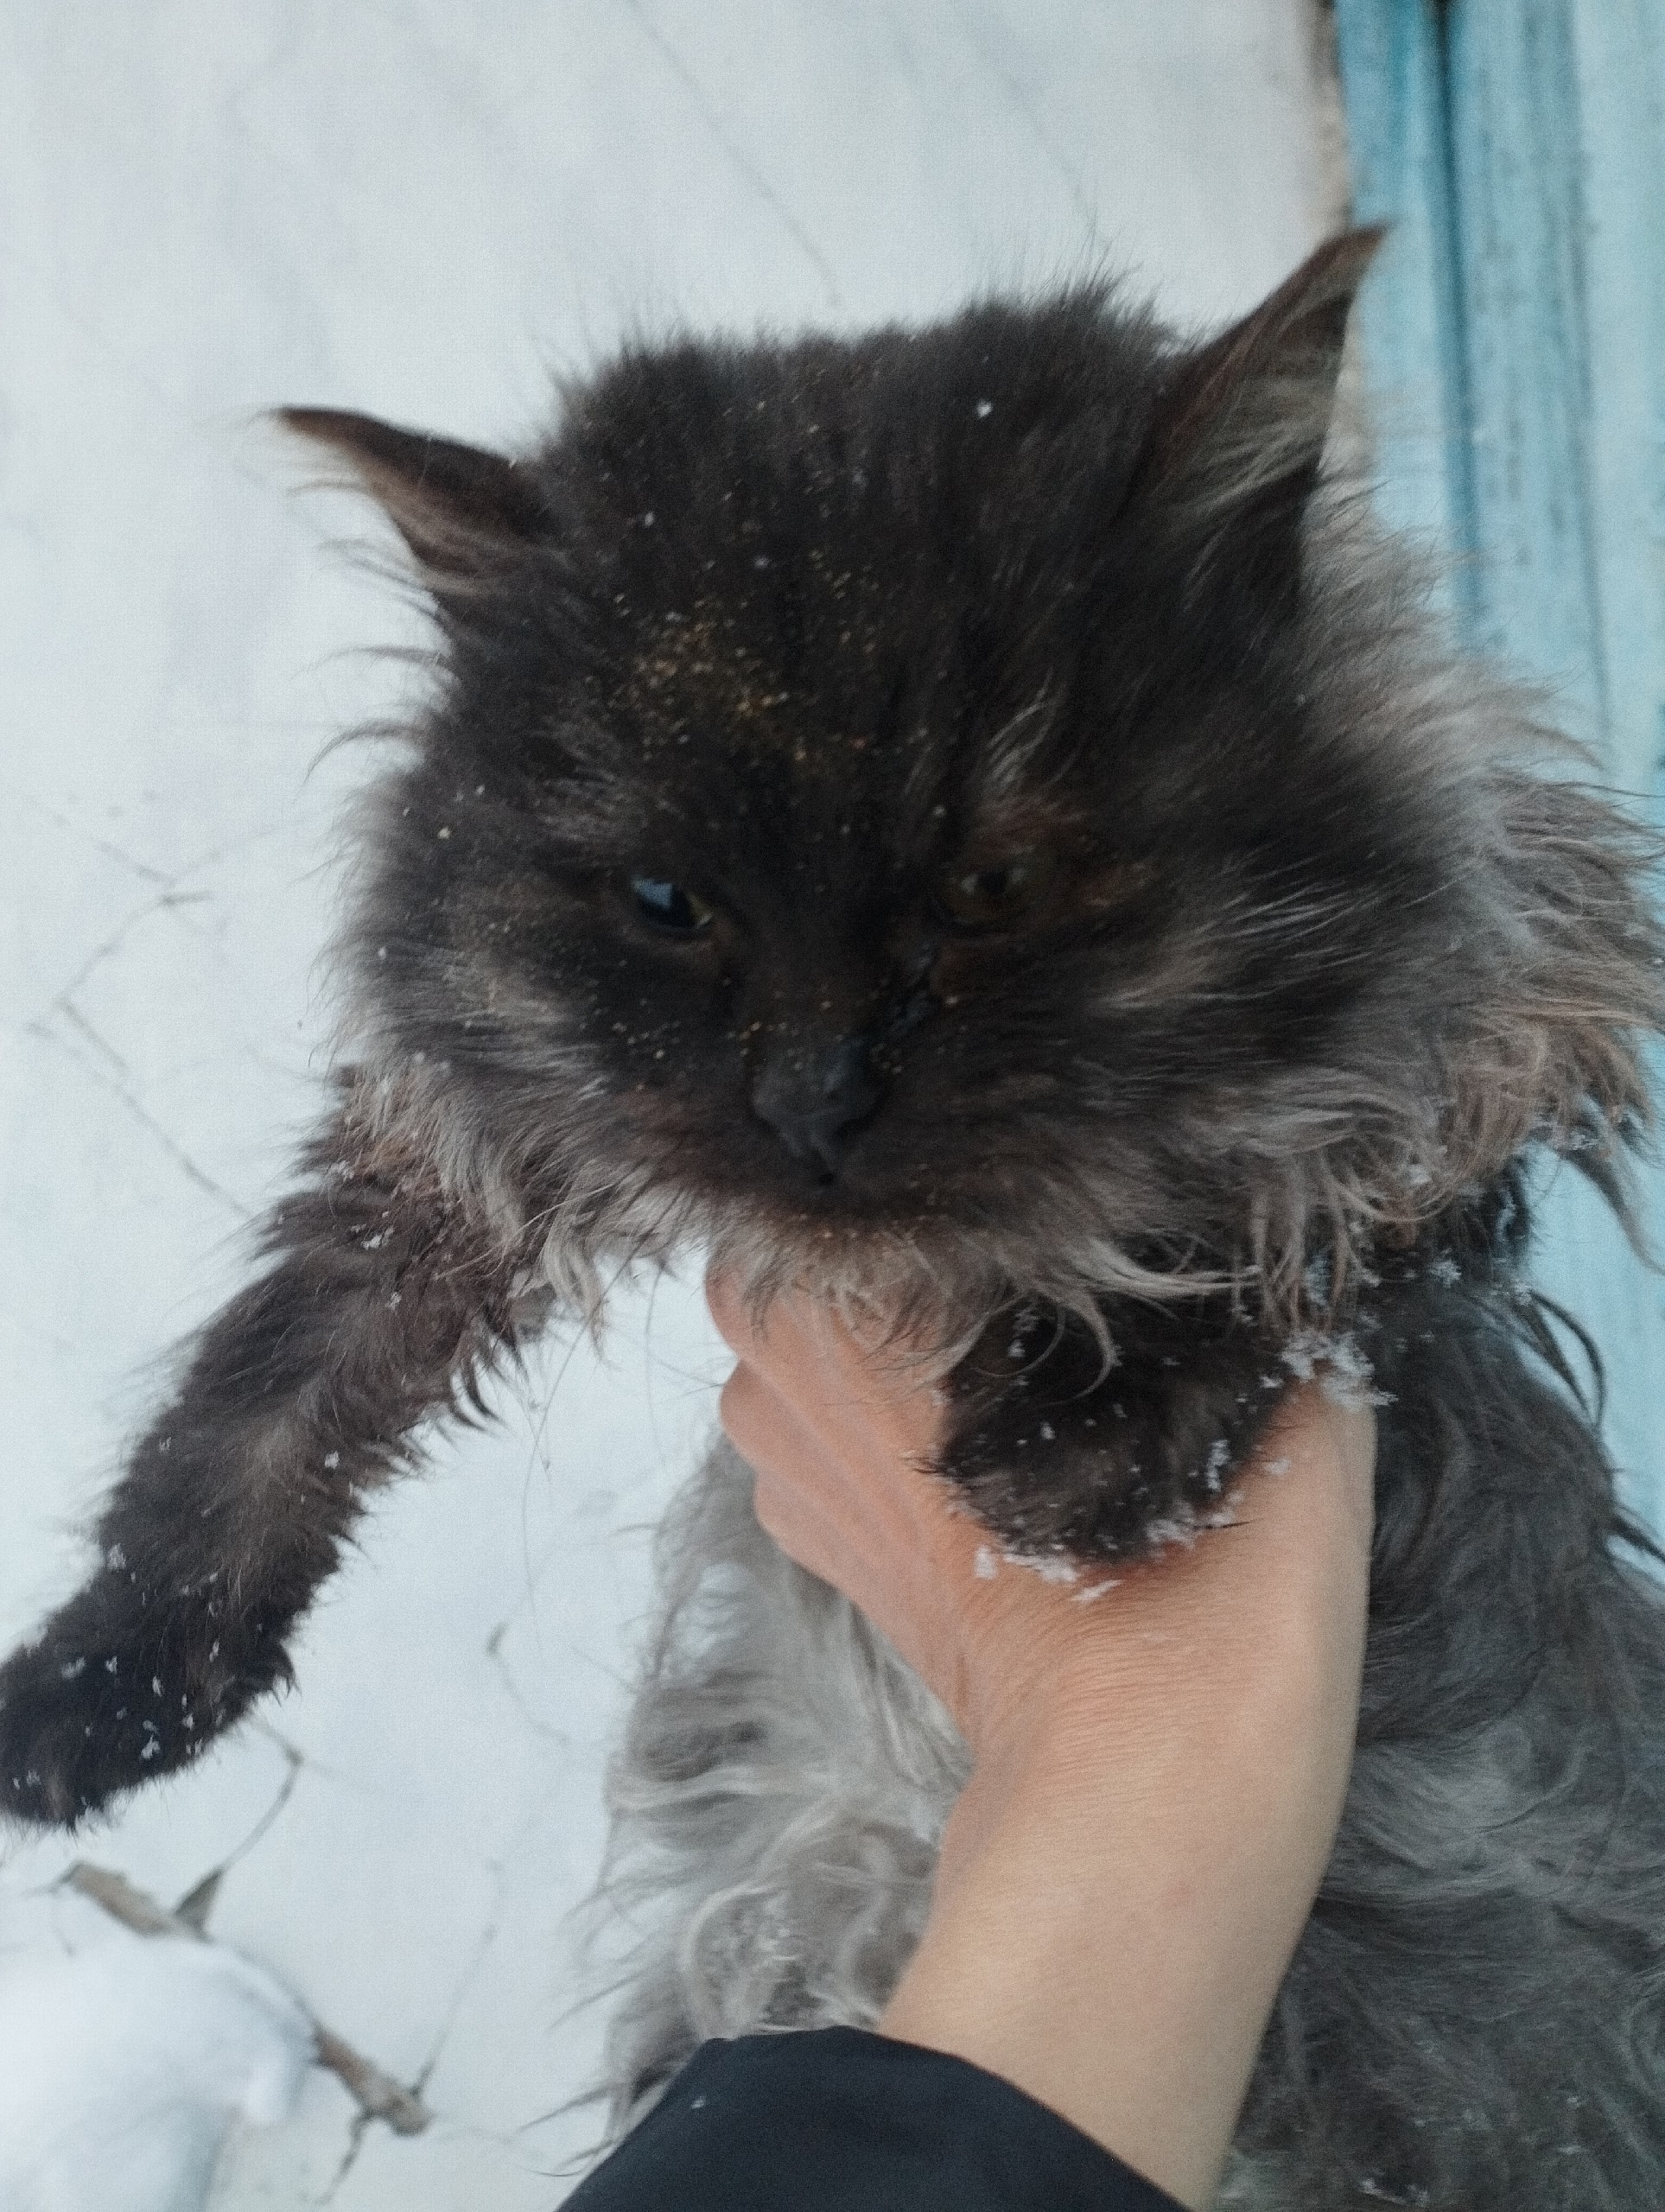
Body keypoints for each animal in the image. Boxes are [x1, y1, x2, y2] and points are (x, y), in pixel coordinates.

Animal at [5, 227, 1665, 2207]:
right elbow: (261, 1392)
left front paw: (1098, 1416)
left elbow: (1293, 1201)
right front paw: (96, 1690)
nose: (814, 1096)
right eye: (666, 902)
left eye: (994, 884)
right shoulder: (456, 1154)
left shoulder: (1534, 996)